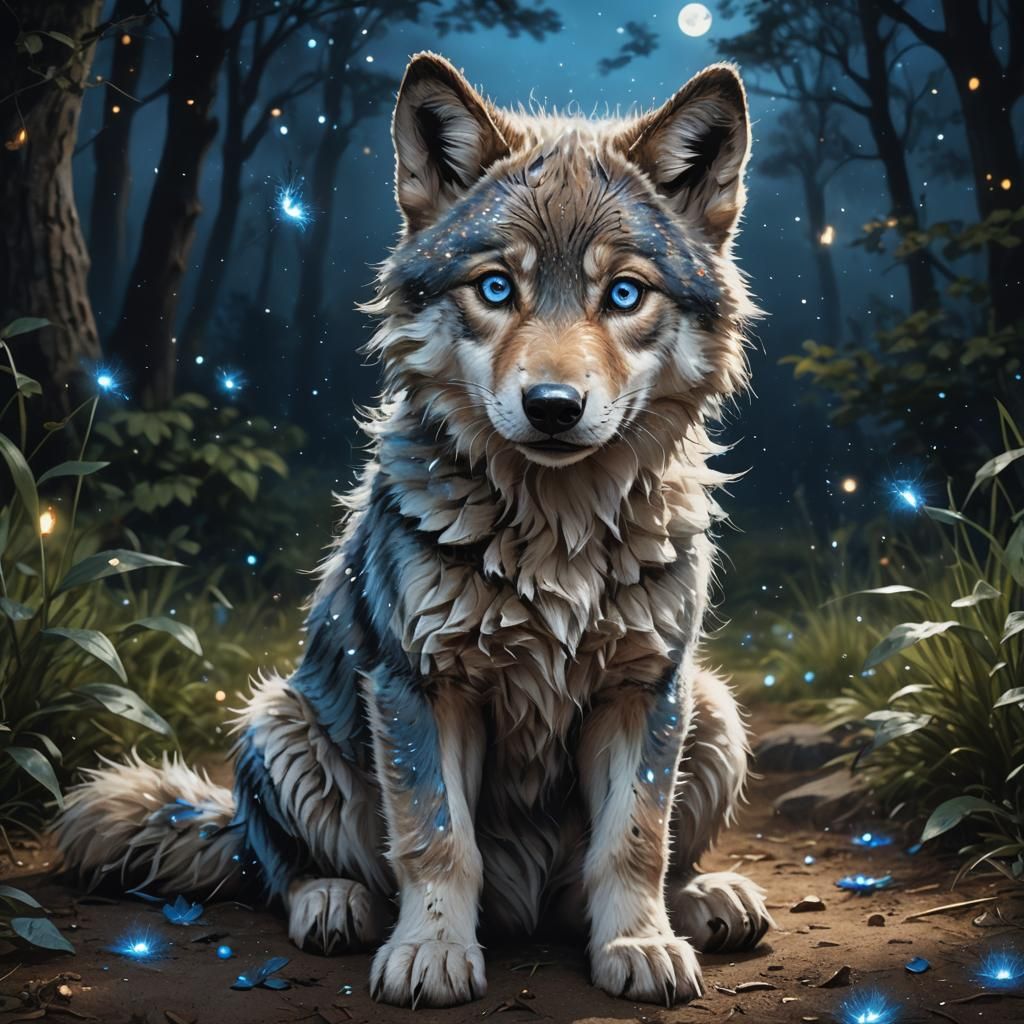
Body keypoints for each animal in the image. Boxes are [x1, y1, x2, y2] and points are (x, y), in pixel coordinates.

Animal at [56, 53, 771, 1008]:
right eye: (496, 288)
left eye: (624, 295)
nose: (552, 406)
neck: (555, 533)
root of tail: (526, 910)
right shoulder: (417, 686)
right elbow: (436, 840)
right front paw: (430, 951)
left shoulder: (645, 688)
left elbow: (635, 842)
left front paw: (641, 944)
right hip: (279, 722)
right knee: (276, 867)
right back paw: (334, 903)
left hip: (713, 707)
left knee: (633, 869)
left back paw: (705, 900)